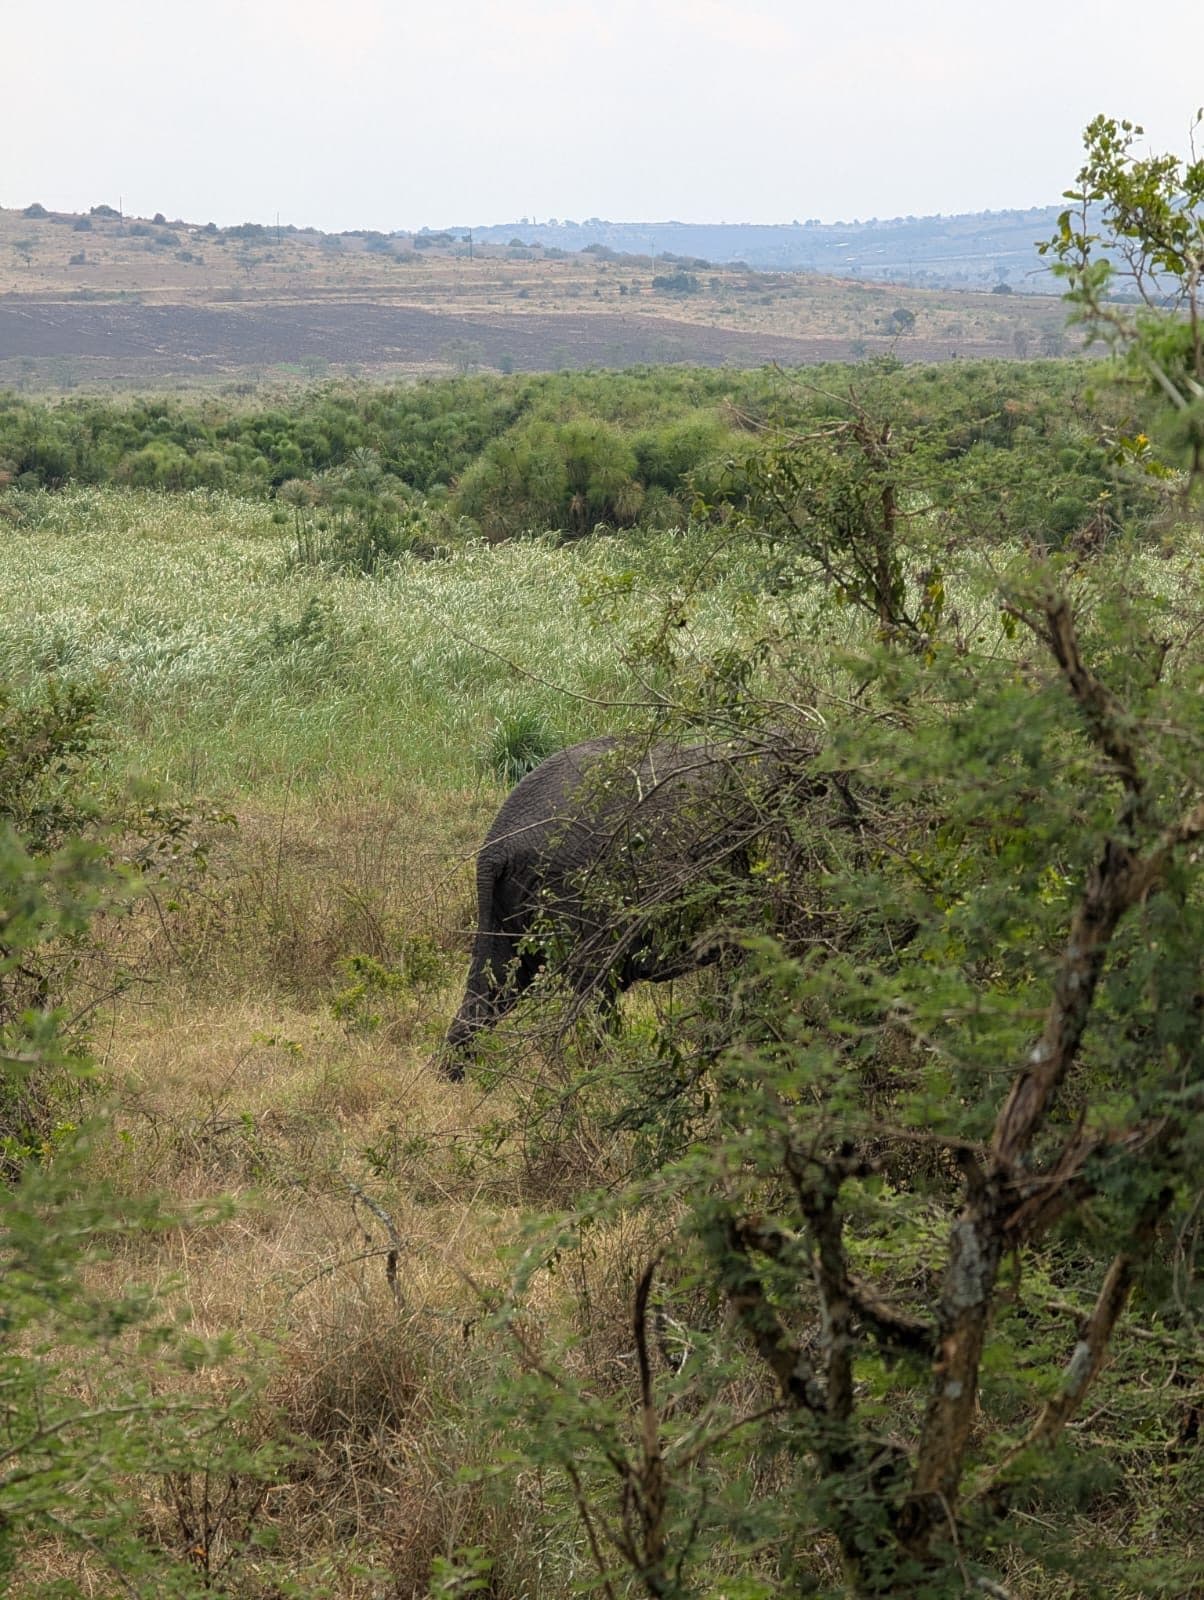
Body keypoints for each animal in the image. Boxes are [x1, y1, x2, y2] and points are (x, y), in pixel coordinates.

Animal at [441, 730, 818, 1077]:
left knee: (495, 983)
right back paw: (607, 1072)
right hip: (577, 891)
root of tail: (496, 849)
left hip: (508, 903)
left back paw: (454, 1074)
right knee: (594, 992)